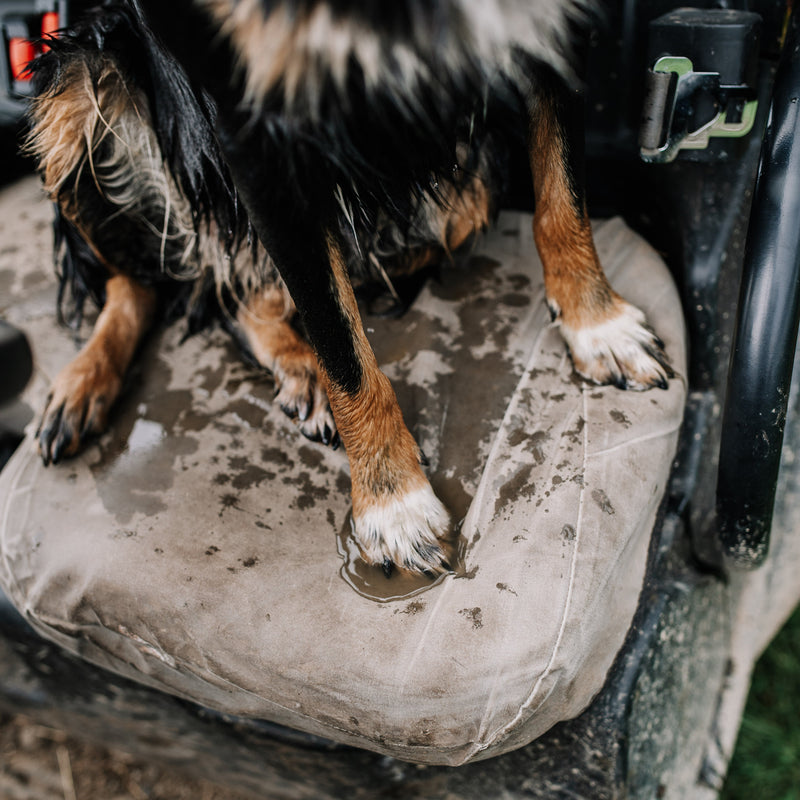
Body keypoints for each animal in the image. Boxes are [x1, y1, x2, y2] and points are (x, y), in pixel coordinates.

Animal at [28, 0, 672, 576]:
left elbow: (563, 196)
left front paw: (596, 322)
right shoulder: (258, 127)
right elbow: (342, 345)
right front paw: (394, 502)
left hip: (467, 178)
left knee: (232, 291)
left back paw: (296, 366)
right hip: (79, 77)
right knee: (145, 283)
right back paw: (84, 386)